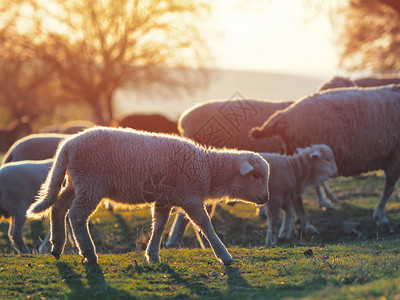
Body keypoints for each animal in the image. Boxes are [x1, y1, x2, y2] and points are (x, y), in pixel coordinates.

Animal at [26, 126, 268, 264]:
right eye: (256, 175)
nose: (265, 198)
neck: (208, 168)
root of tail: (67, 146)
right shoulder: (190, 197)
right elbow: (205, 225)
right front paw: (224, 256)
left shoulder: (164, 199)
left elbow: (159, 225)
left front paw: (152, 255)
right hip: (90, 183)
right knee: (76, 215)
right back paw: (89, 253)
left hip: (76, 182)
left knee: (58, 206)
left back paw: (57, 246)